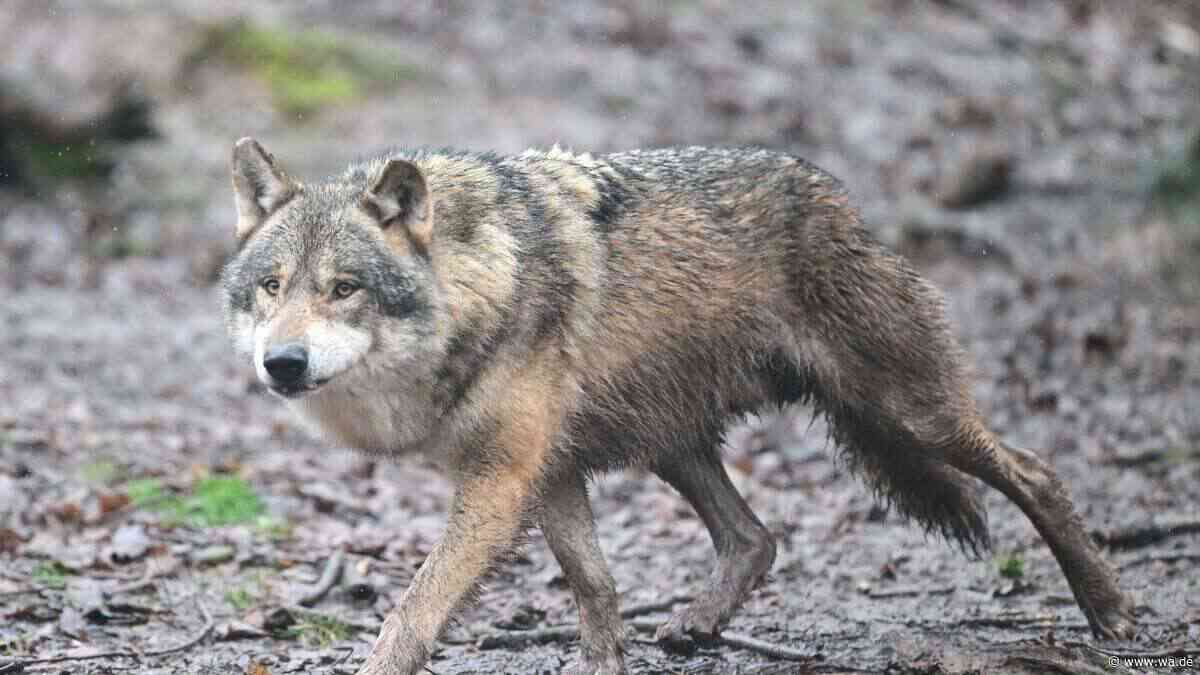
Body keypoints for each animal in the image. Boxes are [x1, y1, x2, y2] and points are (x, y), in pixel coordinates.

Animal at [220, 137, 1136, 675]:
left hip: (909, 413)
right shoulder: (548, 471)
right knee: (756, 537)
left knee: (1036, 471)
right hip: (669, 441)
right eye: (272, 286)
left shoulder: (501, 479)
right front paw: (604, 666)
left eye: (344, 288)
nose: (282, 362)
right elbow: (596, 588)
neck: (480, 282)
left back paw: (1111, 610)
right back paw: (696, 624)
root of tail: (834, 195)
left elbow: (412, 614)